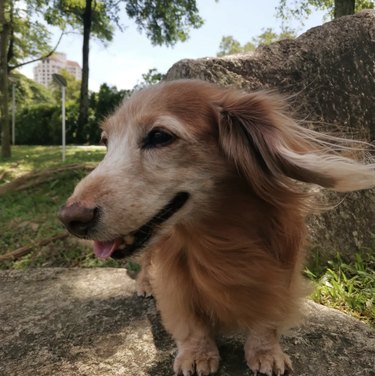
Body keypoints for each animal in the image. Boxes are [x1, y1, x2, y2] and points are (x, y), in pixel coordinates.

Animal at [58, 80, 375, 376]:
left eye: (159, 136)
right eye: (106, 142)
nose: (70, 219)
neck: (219, 236)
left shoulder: (282, 268)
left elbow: (267, 319)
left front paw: (266, 350)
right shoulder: (175, 282)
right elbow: (189, 323)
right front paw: (197, 353)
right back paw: (145, 284)